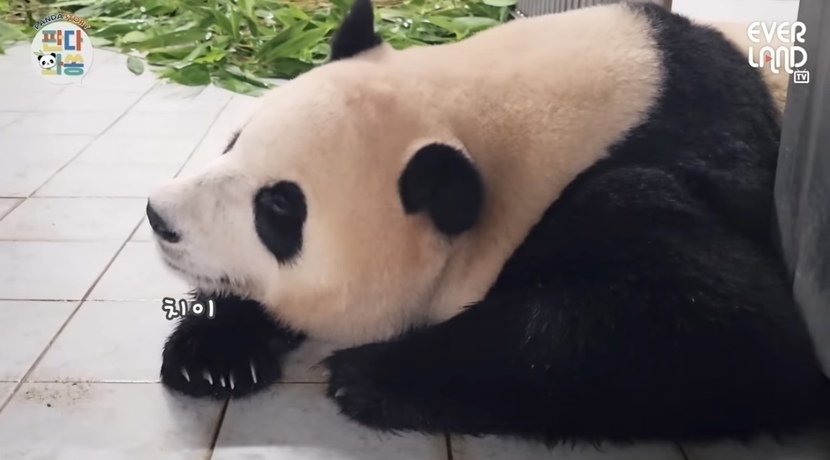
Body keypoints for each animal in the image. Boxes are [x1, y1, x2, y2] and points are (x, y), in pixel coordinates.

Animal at [146, 0, 830, 445]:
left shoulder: (672, 163)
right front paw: (213, 353)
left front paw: (370, 373)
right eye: (235, 141)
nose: (160, 217)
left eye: (279, 209)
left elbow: (724, 331)